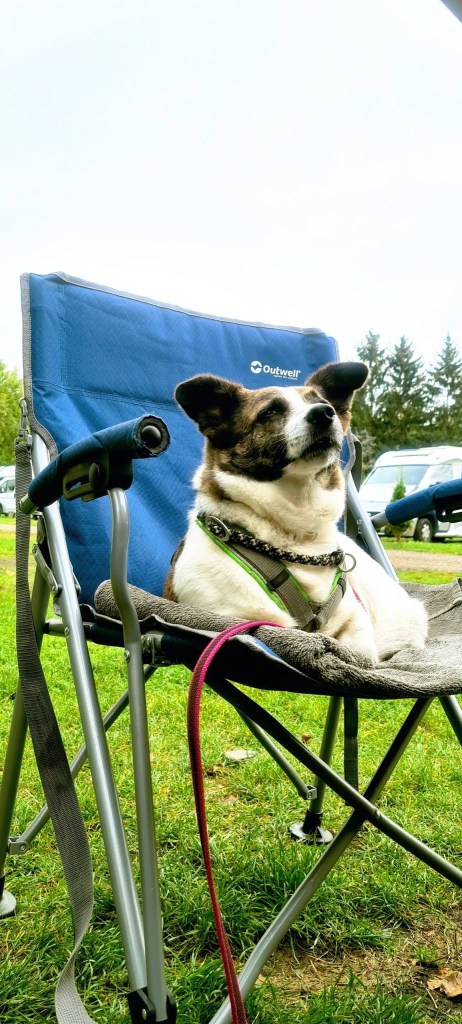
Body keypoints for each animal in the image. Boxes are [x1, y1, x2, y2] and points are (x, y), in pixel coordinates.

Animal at [164, 361, 428, 664]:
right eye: (269, 412)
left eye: (324, 404)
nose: (324, 413)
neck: (295, 536)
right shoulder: (239, 618)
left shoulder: (352, 622)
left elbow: (358, 648)